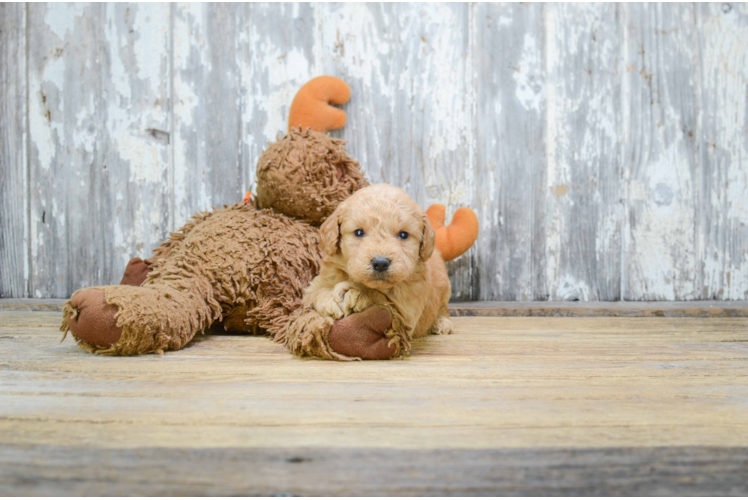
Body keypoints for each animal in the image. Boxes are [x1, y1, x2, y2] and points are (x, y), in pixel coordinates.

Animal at [300, 183, 452, 352]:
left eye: (403, 235)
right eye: (359, 232)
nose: (380, 263)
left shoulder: (407, 313)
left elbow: (383, 299)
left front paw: (357, 292)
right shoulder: (313, 287)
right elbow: (315, 294)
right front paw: (328, 299)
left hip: (444, 289)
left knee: (443, 308)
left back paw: (441, 323)